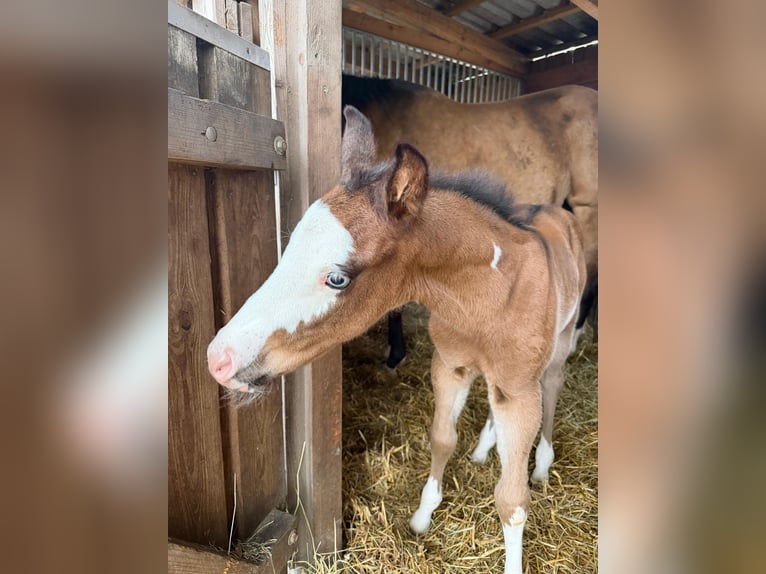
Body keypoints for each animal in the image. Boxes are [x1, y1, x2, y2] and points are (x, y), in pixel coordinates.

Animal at [206, 106, 586, 573]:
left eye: (338, 278)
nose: (219, 358)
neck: (488, 295)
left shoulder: (519, 391)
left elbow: (512, 501)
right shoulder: (450, 365)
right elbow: (442, 438)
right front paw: (422, 517)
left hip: (557, 348)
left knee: (552, 386)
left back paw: (542, 465)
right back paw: (485, 447)